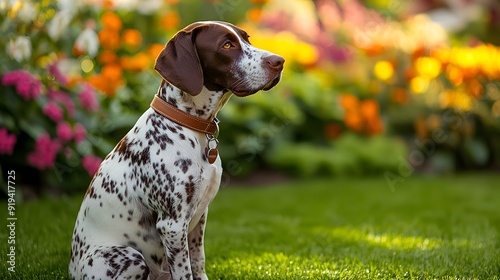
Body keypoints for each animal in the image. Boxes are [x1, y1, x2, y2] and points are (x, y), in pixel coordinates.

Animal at [68, 20, 284, 278]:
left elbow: (198, 261)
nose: (279, 61)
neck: (189, 126)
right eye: (227, 45)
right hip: (129, 256)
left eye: (247, 39)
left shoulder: (199, 216)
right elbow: (185, 271)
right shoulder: (172, 224)